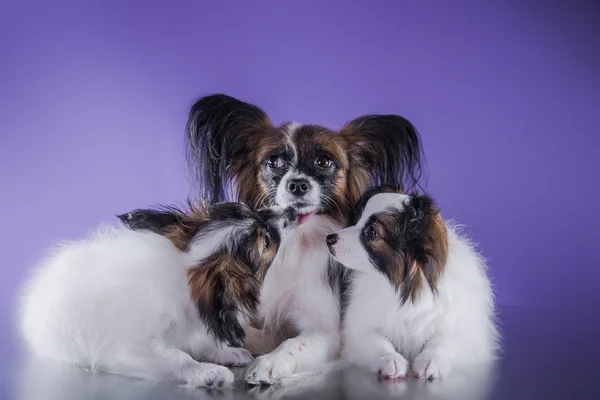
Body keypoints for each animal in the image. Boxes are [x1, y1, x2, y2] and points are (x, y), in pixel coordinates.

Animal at [19, 203, 296, 388]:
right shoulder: (131, 349)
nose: (291, 212)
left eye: (252, 210)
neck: (181, 272)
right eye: (266, 241)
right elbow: (179, 358)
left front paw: (227, 352)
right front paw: (208, 372)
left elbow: (201, 340)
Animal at [185, 94, 424, 384]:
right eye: (274, 162)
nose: (297, 185)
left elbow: (291, 343)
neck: (292, 241)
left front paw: (268, 363)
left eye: (324, 162)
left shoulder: (325, 332)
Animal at [326, 188, 500, 382]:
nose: (329, 238)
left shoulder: (465, 333)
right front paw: (390, 358)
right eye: (357, 221)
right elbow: (378, 341)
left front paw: (431, 359)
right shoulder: (359, 331)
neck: (404, 286)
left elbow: (443, 340)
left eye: (371, 232)